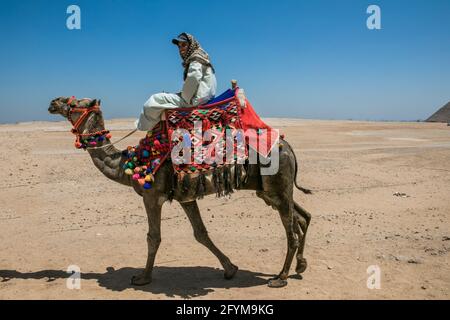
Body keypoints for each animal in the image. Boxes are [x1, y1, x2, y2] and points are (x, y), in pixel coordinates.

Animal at [47, 97, 312, 288]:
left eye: (76, 103)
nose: (53, 102)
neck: (130, 163)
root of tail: (288, 147)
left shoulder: (152, 196)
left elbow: (153, 237)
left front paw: (142, 278)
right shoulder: (187, 197)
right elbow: (201, 233)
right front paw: (230, 268)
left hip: (276, 186)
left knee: (292, 230)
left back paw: (280, 278)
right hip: (271, 192)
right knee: (302, 217)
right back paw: (300, 266)